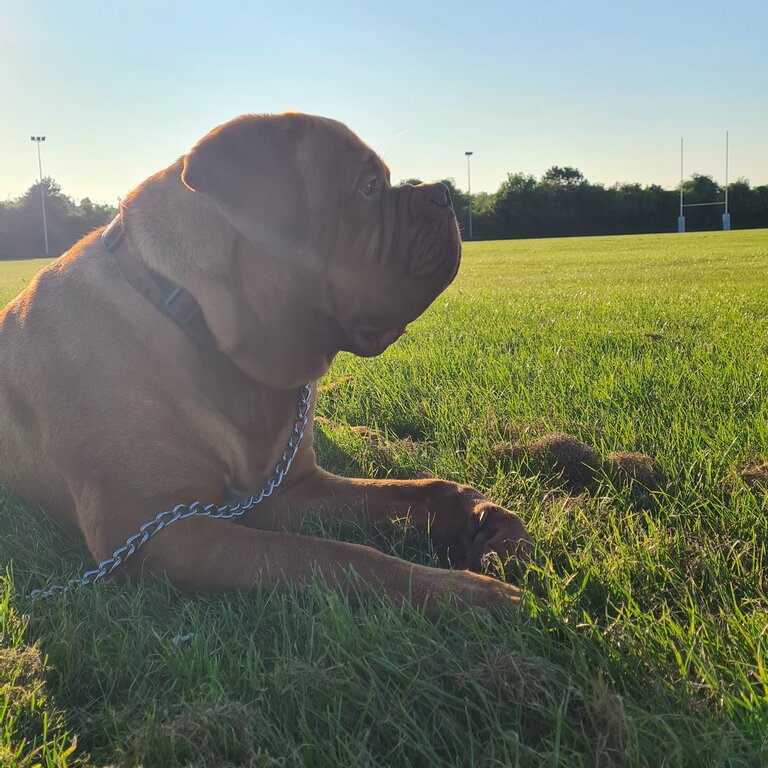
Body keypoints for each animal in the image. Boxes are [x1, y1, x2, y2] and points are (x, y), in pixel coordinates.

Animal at [0, 112, 528, 612]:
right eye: (367, 187)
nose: (442, 192)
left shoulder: (292, 487)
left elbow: (418, 489)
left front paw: (485, 520)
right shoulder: (160, 534)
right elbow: (336, 556)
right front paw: (469, 594)